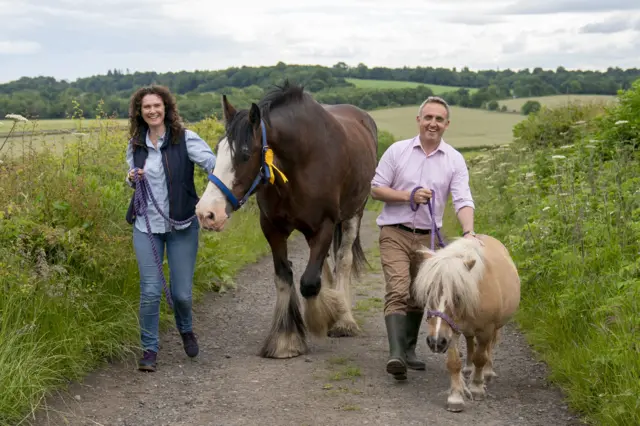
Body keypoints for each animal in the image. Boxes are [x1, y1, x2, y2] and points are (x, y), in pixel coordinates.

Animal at [192, 80, 378, 360]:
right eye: (218, 149)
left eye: (245, 154)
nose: (207, 213)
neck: (301, 160)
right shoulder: (272, 228)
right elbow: (284, 277)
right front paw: (285, 339)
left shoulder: (324, 225)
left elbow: (309, 282)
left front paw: (319, 320)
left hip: (353, 214)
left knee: (343, 261)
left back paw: (343, 319)